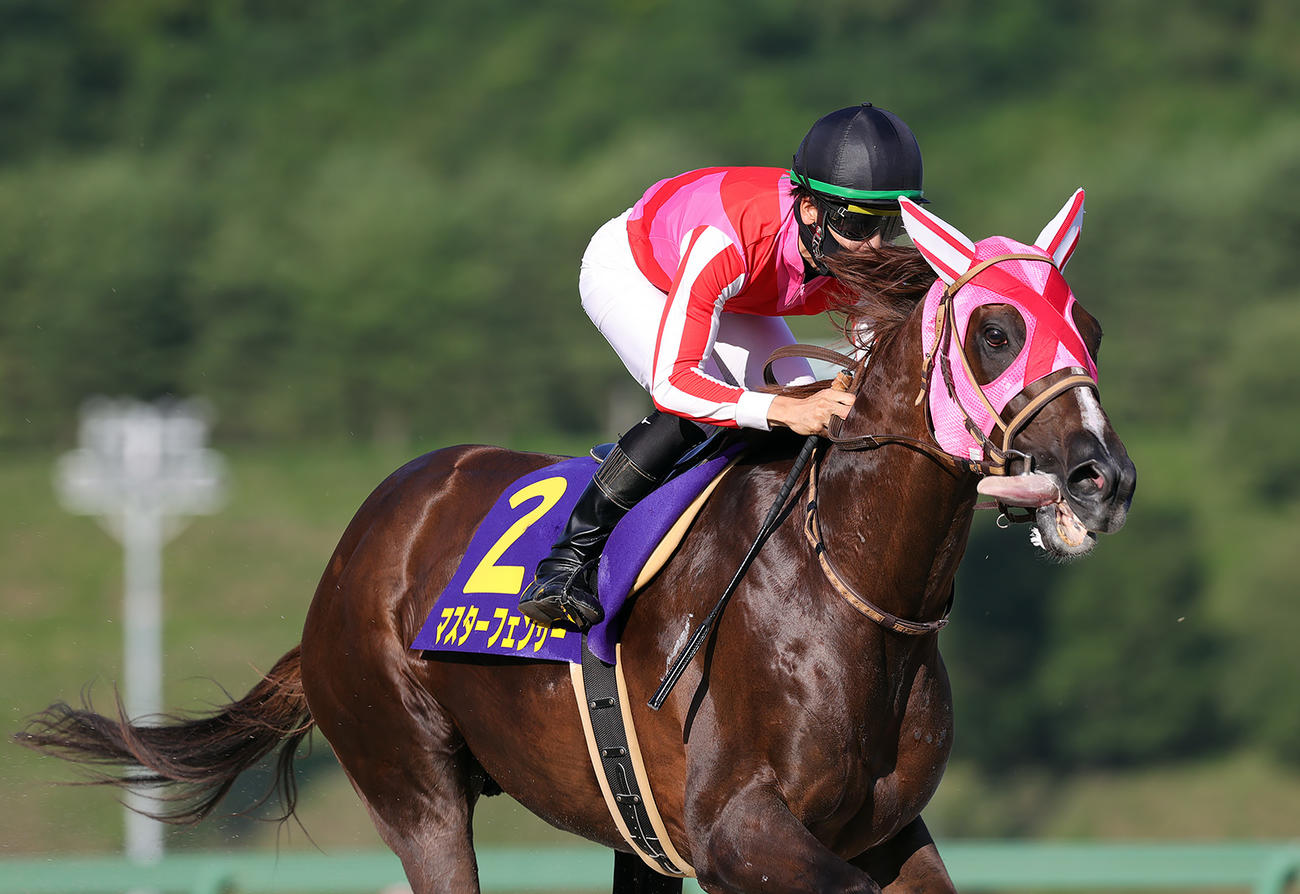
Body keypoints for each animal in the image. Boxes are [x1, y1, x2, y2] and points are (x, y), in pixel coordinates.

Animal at [17, 193, 1136, 893]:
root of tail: (357, 547)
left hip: (630, 825)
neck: (848, 582)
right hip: (410, 783)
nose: (1101, 478)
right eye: (994, 330)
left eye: (1086, 323)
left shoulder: (884, 833)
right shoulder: (740, 831)